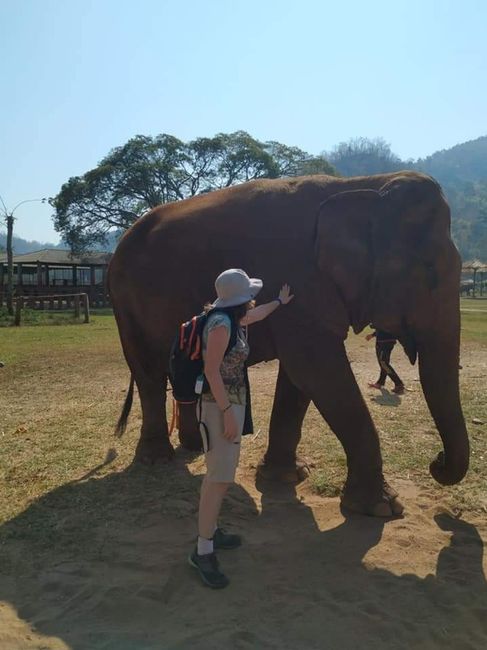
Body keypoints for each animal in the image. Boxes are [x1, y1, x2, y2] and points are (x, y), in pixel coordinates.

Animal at [109, 170, 468, 512]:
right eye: (429, 272)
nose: (436, 462)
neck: (360, 185)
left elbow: (299, 379)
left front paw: (286, 476)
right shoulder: (301, 278)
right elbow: (316, 369)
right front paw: (381, 507)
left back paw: (195, 446)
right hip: (125, 303)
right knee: (149, 372)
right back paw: (157, 458)